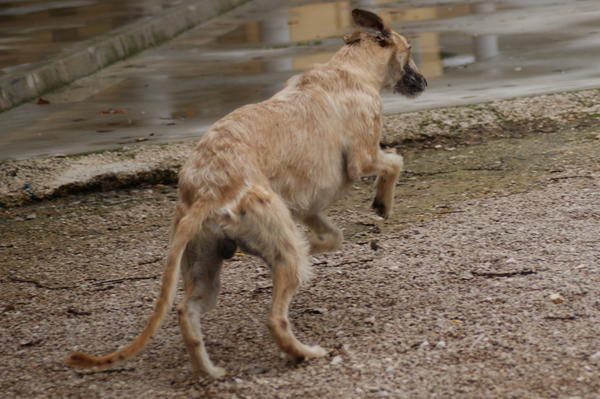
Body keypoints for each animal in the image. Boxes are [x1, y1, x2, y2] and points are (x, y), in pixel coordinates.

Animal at [67, 7, 426, 380]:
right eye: (410, 48)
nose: (424, 83)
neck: (349, 68)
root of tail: (206, 193)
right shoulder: (363, 158)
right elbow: (394, 162)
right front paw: (382, 202)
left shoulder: (306, 206)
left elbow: (331, 235)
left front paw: (316, 244)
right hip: (272, 251)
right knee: (275, 318)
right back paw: (305, 353)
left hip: (204, 269)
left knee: (186, 312)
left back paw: (210, 371)